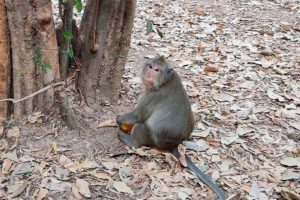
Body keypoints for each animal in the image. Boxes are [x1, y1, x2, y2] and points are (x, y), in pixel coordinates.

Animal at [116, 55, 226, 199]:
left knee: (140, 127)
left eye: (157, 70)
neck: (165, 82)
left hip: (153, 140)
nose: (150, 74)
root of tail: (174, 145)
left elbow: (138, 116)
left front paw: (119, 119)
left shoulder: (152, 96)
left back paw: (130, 141)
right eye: (150, 66)